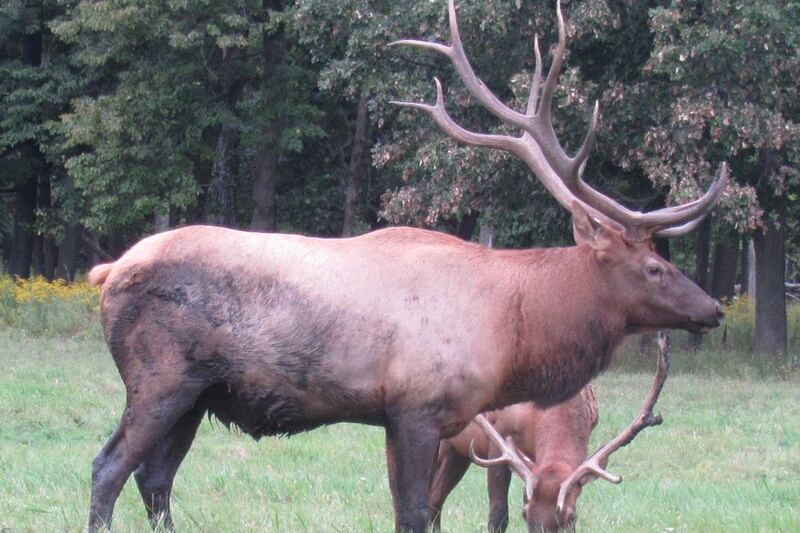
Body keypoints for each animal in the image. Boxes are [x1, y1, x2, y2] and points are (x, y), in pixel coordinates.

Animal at [429, 333, 672, 533]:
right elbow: (498, 514)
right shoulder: (498, 439)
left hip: (457, 453)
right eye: (525, 515)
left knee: (435, 500)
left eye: (572, 517)